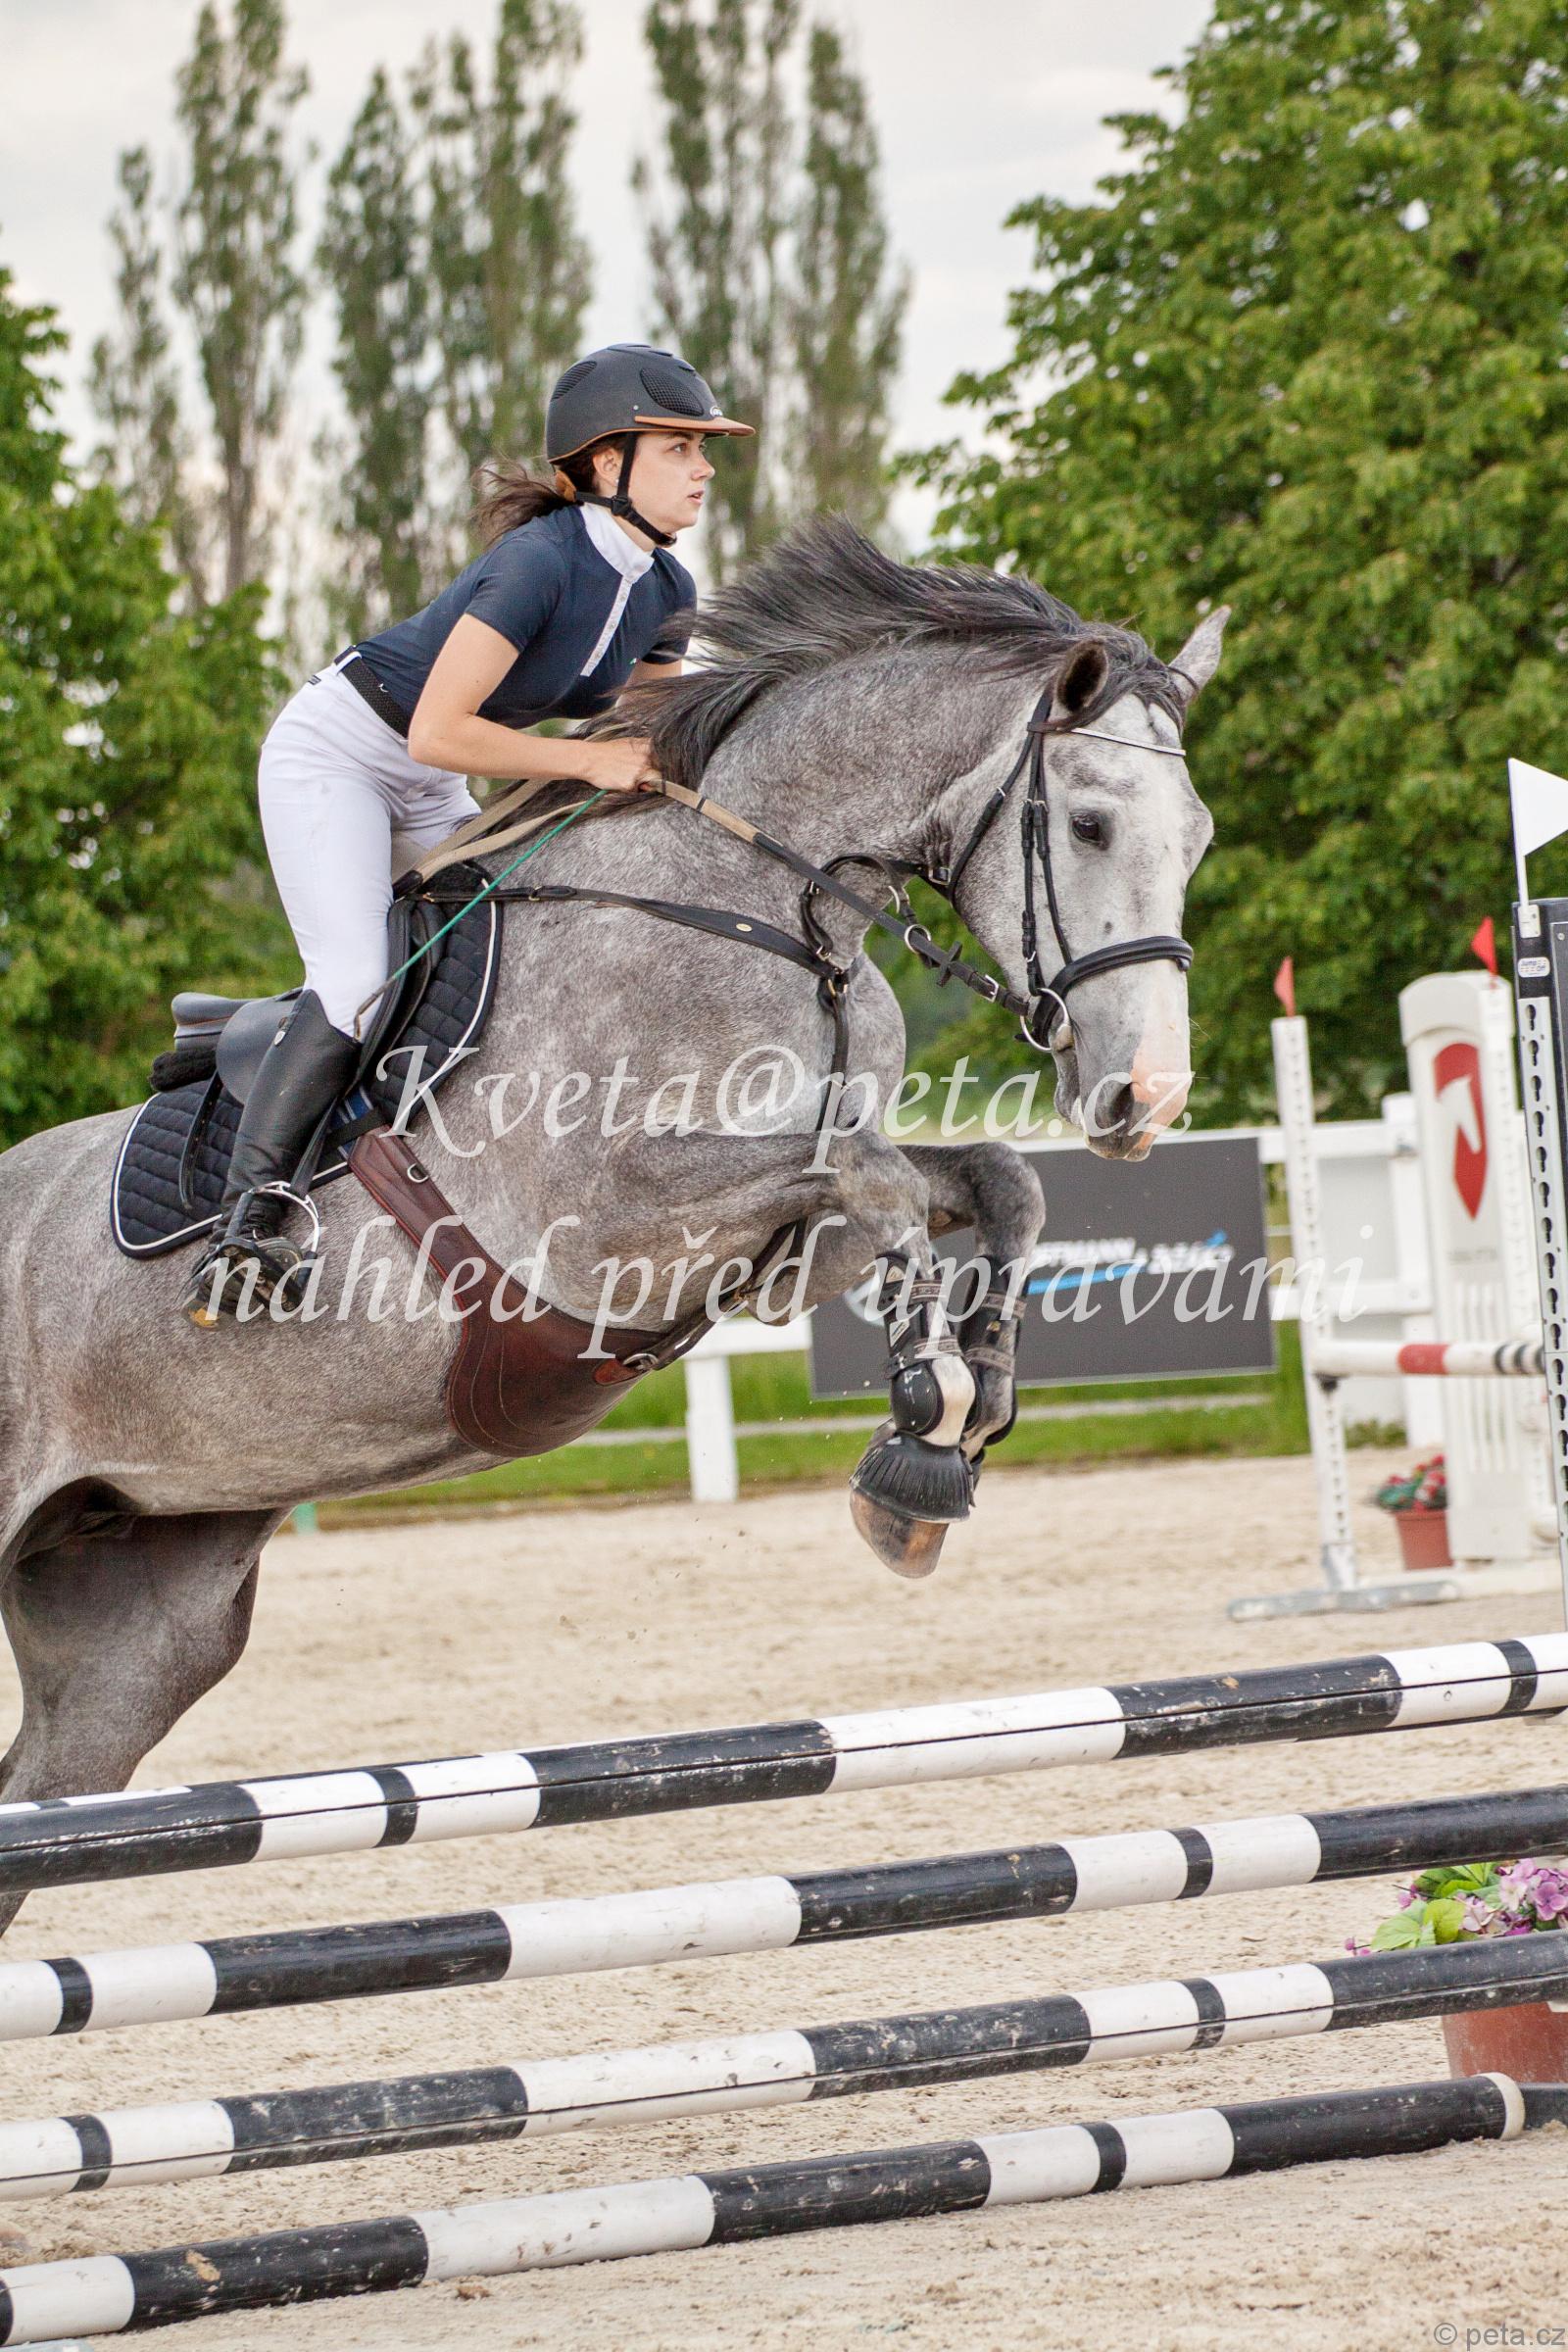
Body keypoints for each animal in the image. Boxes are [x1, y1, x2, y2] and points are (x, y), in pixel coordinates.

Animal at [0, 518, 1223, 1927]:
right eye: (1087, 822)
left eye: (1195, 837)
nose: (1143, 1098)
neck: (766, 909)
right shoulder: (610, 1229)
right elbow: (878, 1181)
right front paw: (925, 1423)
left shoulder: (782, 1253)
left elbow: (983, 1181)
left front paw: (967, 1419)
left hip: (140, 1623)